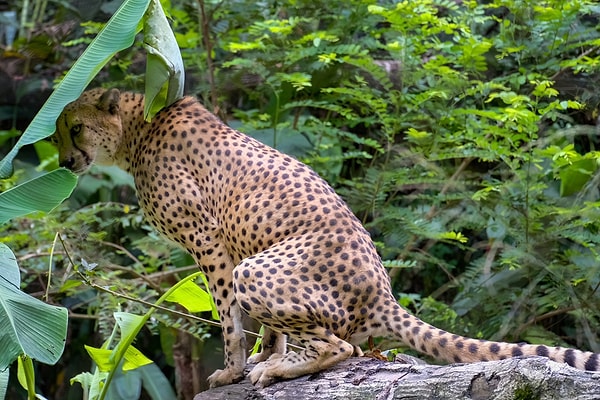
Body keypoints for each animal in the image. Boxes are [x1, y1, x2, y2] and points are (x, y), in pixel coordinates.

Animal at [55, 87, 600, 388]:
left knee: (342, 349)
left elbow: (228, 317)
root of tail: (382, 291)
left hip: (261, 272)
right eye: (60, 132)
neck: (137, 131)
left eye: (75, 128)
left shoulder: (211, 243)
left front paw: (237, 368)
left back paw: (280, 372)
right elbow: (263, 328)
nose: (63, 160)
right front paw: (264, 355)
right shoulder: (233, 243)